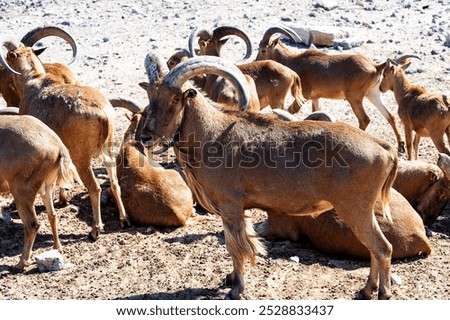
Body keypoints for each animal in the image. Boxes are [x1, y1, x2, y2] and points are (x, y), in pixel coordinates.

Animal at [0, 114, 78, 270]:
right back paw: (57, 247)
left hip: (22, 189)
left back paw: (21, 263)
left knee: (32, 224)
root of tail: (58, 147)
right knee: (52, 215)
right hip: (48, 186)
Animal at [136, 52, 398, 300]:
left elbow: (236, 246)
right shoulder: (238, 209)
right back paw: (366, 290)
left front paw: (236, 289)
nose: (146, 137)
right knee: (376, 249)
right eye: (151, 97)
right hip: (362, 210)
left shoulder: (230, 205)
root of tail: (384, 148)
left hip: (355, 209)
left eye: (174, 99)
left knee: (382, 248)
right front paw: (231, 279)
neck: (212, 134)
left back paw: (382, 292)